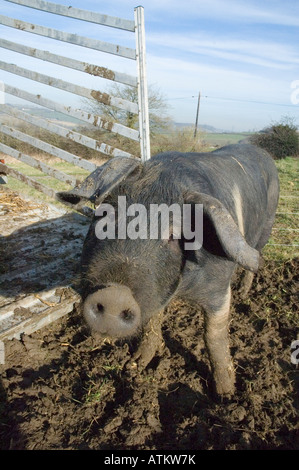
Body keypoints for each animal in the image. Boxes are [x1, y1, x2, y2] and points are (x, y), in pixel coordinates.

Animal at [57, 144, 280, 396]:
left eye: (175, 235)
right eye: (104, 217)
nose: (114, 295)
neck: (180, 289)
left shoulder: (220, 291)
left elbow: (214, 338)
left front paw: (225, 395)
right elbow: (152, 324)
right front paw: (135, 365)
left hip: (266, 227)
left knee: (256, 259)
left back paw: (243, 292)